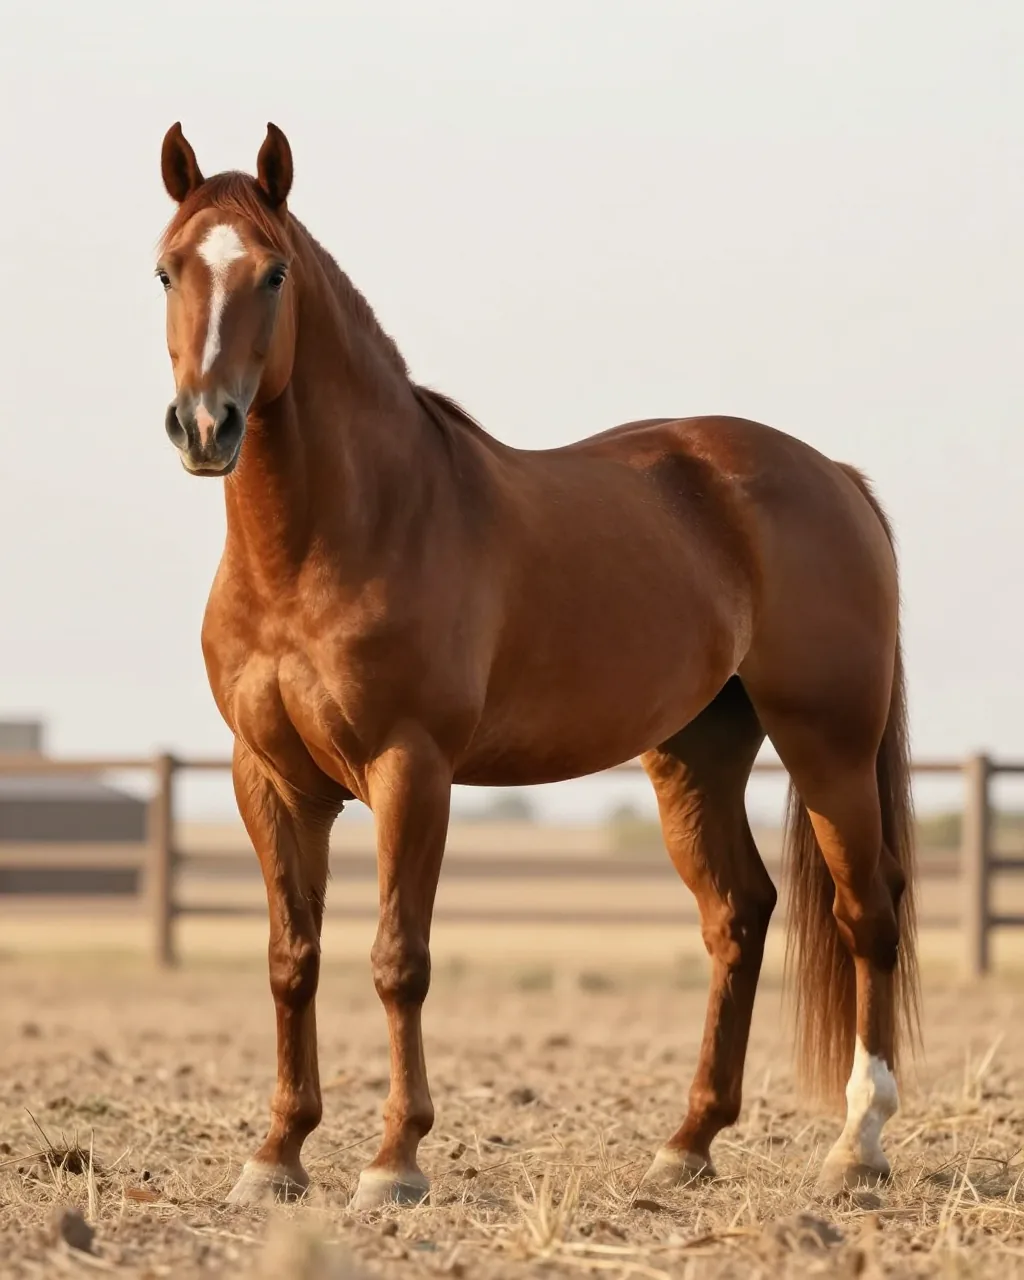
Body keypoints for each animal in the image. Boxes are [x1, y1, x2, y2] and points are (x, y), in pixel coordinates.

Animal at [154, 121, 919, 1209]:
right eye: (167, 268)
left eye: (273, 272)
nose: (206, 425)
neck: (329, 537)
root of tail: (834, 476)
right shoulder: (269, 779)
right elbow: (290, 959)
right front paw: (277, 1154)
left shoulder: (411, 768)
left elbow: (398, 958)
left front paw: (395, 1161)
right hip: (696, 753)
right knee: (739, 914)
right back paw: (687, 1143)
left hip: (829, 747)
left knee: (868, 915)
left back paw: (857, 1146)